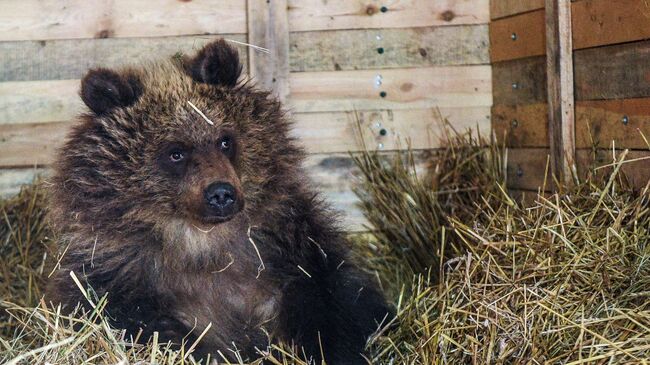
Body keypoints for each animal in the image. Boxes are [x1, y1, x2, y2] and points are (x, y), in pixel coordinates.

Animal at [46, 38, 390, 362]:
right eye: (175, 152)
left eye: (225, 140)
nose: (221, 193)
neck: (202, 245)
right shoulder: (118, 274)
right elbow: (142, 323)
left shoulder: (290, 250)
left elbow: (332, 307)